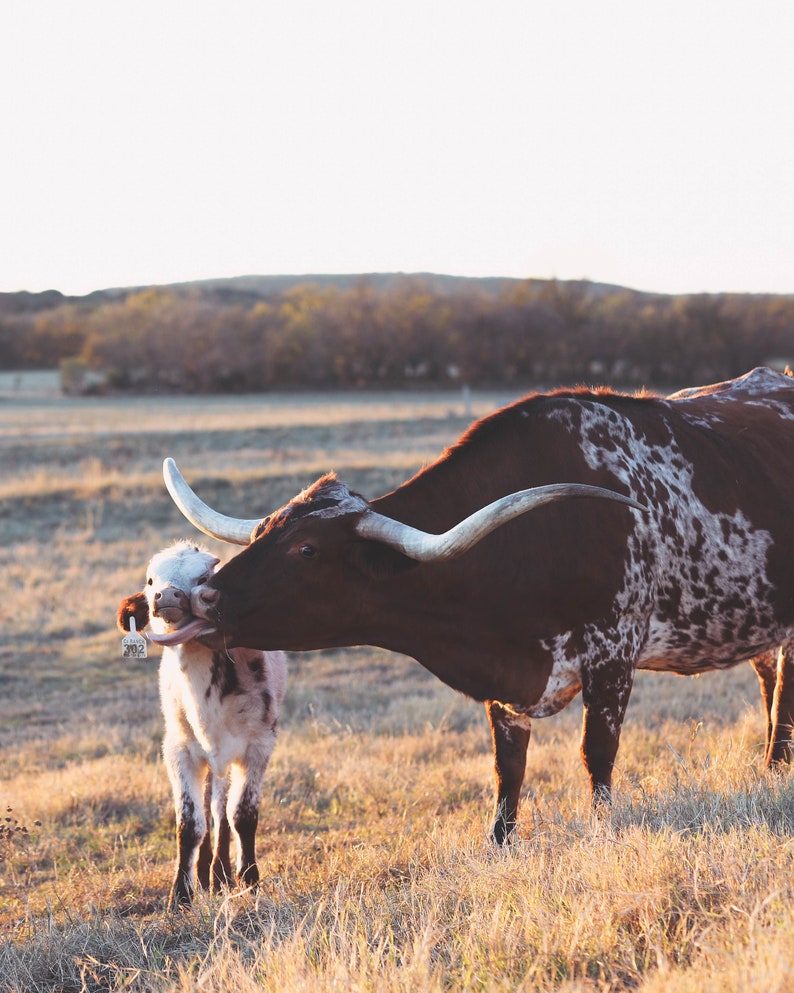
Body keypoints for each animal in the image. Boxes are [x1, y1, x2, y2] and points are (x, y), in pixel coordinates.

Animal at [117, 544, 284, 908]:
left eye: (203, 577)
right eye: (151, 580)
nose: (169, 595)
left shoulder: (258, 746)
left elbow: (241, 815)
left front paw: (249, 879)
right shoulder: (178, 751)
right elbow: (190, 823)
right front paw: (180, 894)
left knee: (220, 811)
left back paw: (220, 873)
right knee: (209, 810)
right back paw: (208, 872)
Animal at [153, 368, 792, 840]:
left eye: (307, 550)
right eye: (264, 531)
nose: (203, 596)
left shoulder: (612, 656)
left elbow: (597, 757)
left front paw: (603, 830)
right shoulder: (503, 684)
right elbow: (507, 771)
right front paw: (500, 842)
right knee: (769, 682)